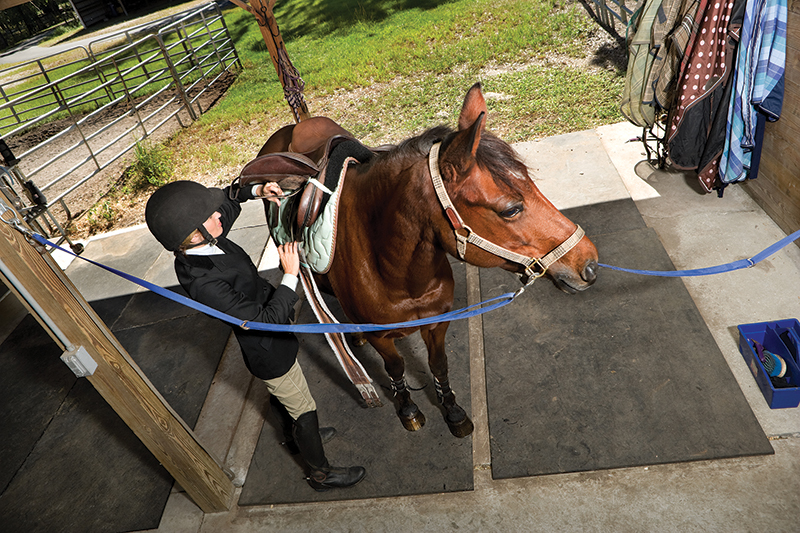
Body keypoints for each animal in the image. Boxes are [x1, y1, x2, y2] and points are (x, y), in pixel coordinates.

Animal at [247, 83, 598, 438]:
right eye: (511, 209)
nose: (589, 264)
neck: (397, 272)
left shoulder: (437, 322)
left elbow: (438, 365)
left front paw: (452, 409)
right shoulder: (382, 338)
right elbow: (396, 367)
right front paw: (408, 408)